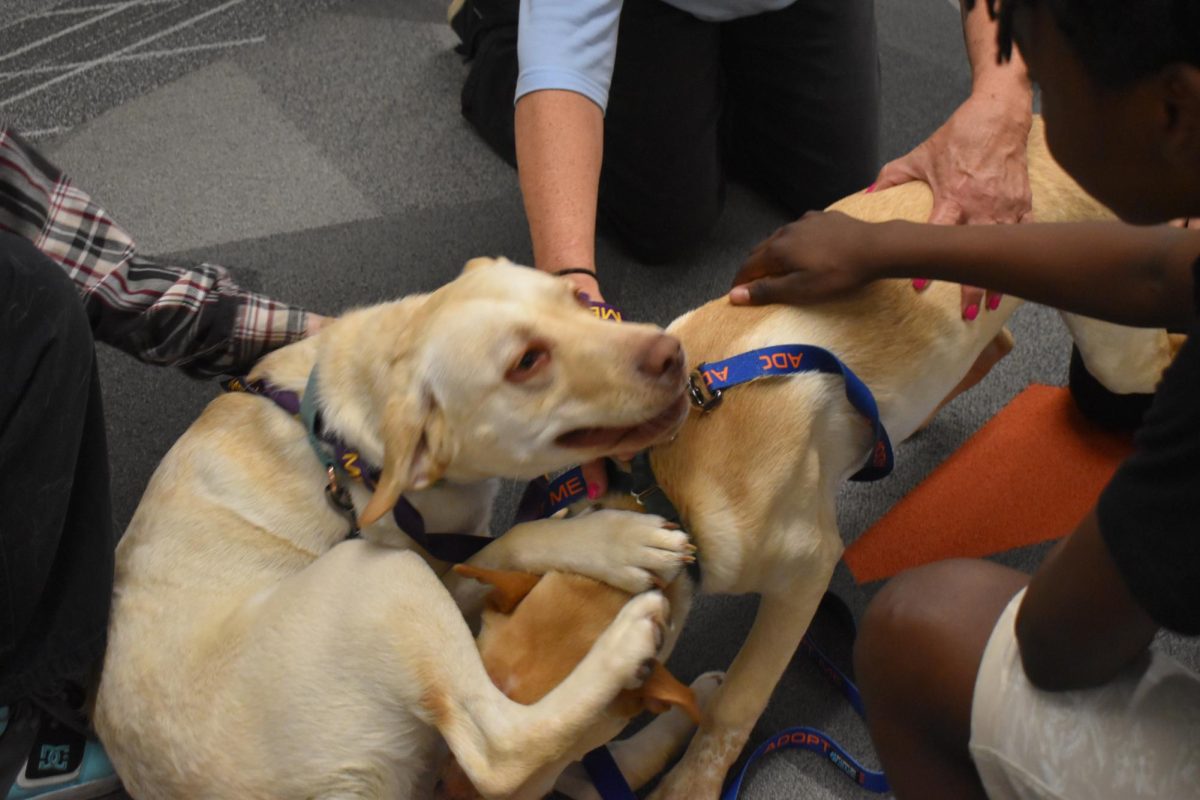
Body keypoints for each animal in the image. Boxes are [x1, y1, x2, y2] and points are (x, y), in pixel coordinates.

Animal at [93, 261, 700, 800]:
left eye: (575, 298)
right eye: (526, 362)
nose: (671, 354)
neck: (345, 449)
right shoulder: (430, 563)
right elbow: (515, 540)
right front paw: (616, 541)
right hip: (380, 579)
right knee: (499, 751)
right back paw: (629, 641)